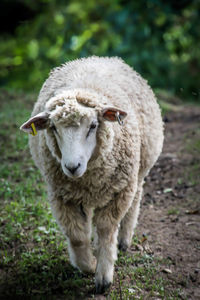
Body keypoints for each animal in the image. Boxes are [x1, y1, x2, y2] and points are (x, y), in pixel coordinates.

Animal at [19, 56, 164, 292]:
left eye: (93, 125)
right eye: (54, 128)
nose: (72, 166)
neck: (87, 178)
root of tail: (100, 57)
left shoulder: (119, 191)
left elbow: (106, 230)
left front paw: (104, 276)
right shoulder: (62, 196)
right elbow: (77, 236)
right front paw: (87, 265)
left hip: (138, 171)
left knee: (135, 201)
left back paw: (124, 239)